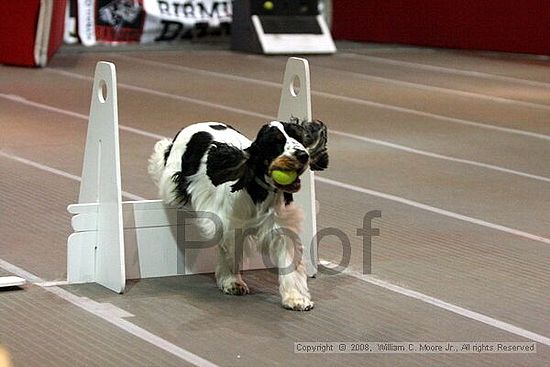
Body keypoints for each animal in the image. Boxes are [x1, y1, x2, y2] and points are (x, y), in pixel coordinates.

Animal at [149, 119, 330, 312]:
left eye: (299, 137)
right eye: (276, 141)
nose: (303, 155)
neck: (260, 191)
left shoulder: (280, 226)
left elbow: (289, 260)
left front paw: (296, 298)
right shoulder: (229, 225)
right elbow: (230, 253)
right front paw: (232, 281)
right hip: (171, 183)